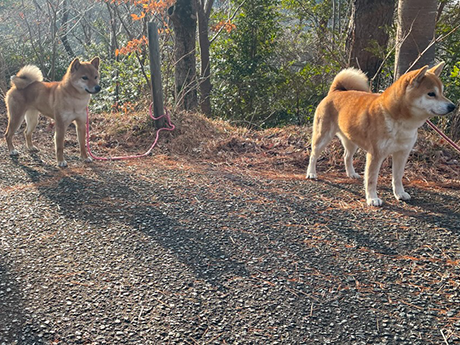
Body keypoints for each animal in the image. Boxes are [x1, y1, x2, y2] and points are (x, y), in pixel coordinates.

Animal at [308, 61, 454, 206]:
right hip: (323, 137)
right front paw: (372, 198)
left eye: (442, 92)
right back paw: (311, 173)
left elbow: (397, 177)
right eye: (431, 93)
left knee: (346, 156)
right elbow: (371, 179)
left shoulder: (402, 153)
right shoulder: (375, 155)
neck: (399, 121)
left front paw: (400, 193)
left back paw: (351, 173)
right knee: (313, 155)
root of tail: (335, 92)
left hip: (351, 141)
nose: (452, 106)